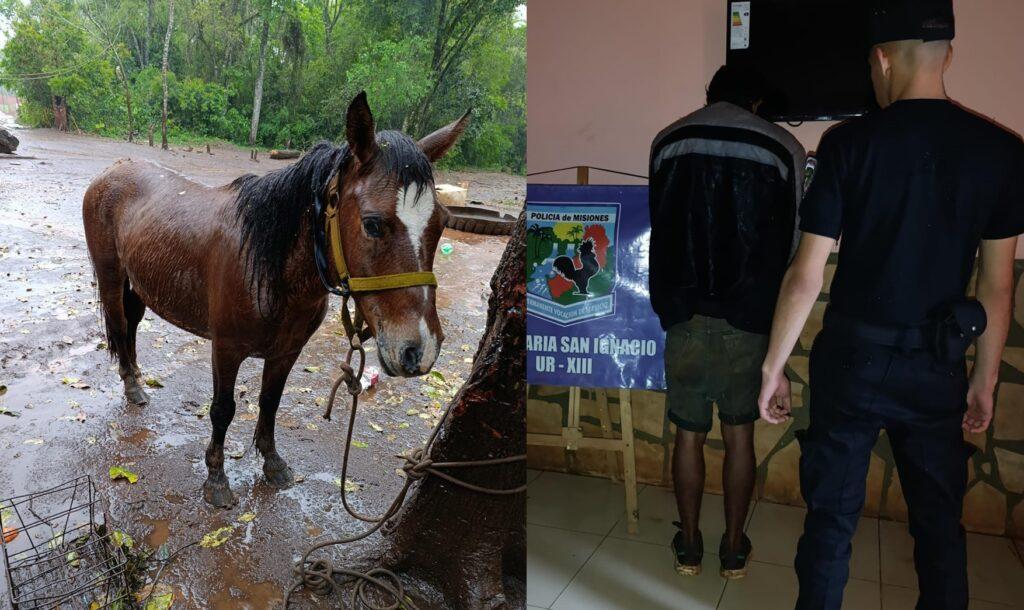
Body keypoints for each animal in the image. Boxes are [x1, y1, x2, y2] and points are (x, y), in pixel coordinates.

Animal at [82, 93, 469, 507]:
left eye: (442, 222)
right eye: (373, 224)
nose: (419, 350)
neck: (269, 266)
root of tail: (112, 171)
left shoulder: (287, 350)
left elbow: (270, 401)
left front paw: (272, 463)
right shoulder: (226, 349)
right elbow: (223, 410)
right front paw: (216, 479)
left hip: (138, 285)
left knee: (132, 324)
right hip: (112, 278)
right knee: (119, 324)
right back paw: (132, 386)